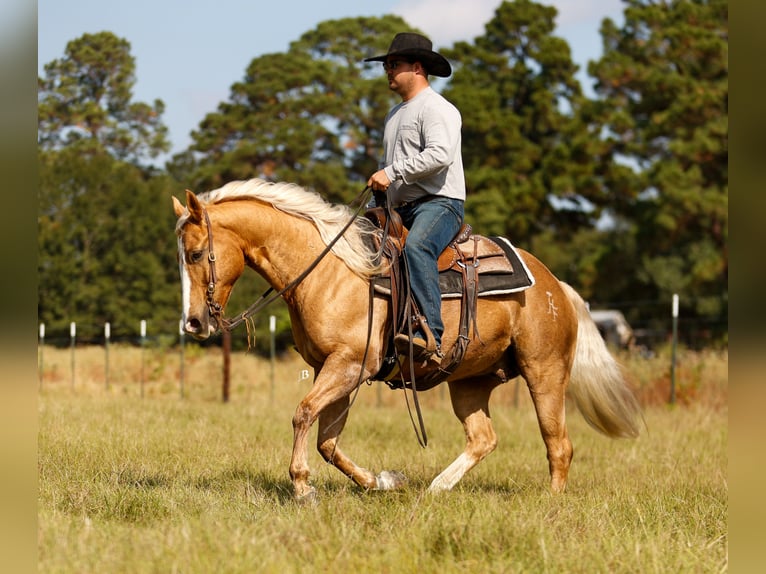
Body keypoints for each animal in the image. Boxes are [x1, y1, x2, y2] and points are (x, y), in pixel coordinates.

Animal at [172, 178, 642, 502]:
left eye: (195, 254)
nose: (193, 323)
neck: (332, 270)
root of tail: (555, 285)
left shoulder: (348, 366)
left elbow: (303, 416)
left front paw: (302, 488)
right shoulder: (335, 370)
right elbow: (328, 441)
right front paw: (382, 482)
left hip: (545, 372)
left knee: (558, 444)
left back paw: (550, 502)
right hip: (469, 382)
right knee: (483, 438)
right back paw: (437, 488)